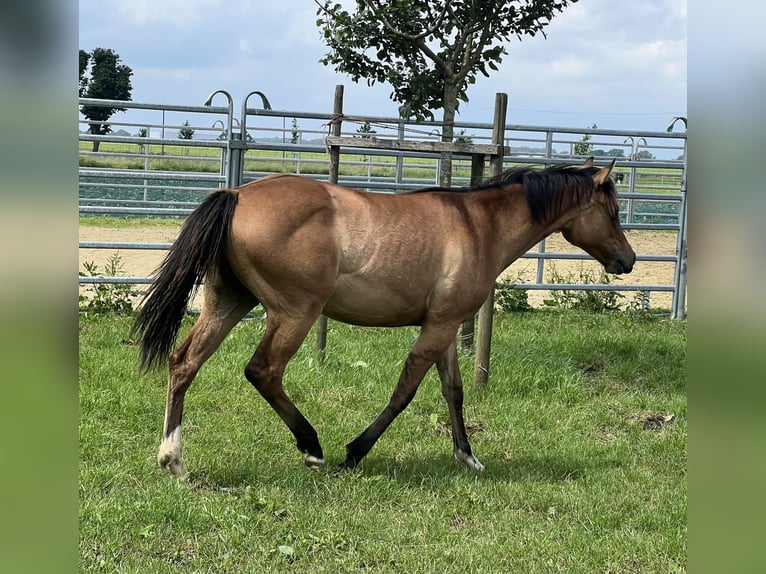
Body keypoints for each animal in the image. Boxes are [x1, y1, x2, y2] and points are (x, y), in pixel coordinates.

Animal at [133, 158, 635, 479]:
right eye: (611, 211)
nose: (628, 261)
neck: (478, 226)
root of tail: (237, 193)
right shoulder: (437, 328)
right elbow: (404, 392)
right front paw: (355, 452)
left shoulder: (445, 327)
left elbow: (453, 392)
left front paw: (467, 457)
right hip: (294, 312)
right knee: (263, 371)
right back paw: (312, 447)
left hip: (229, 303)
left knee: (184, 362)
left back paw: (173, 459)